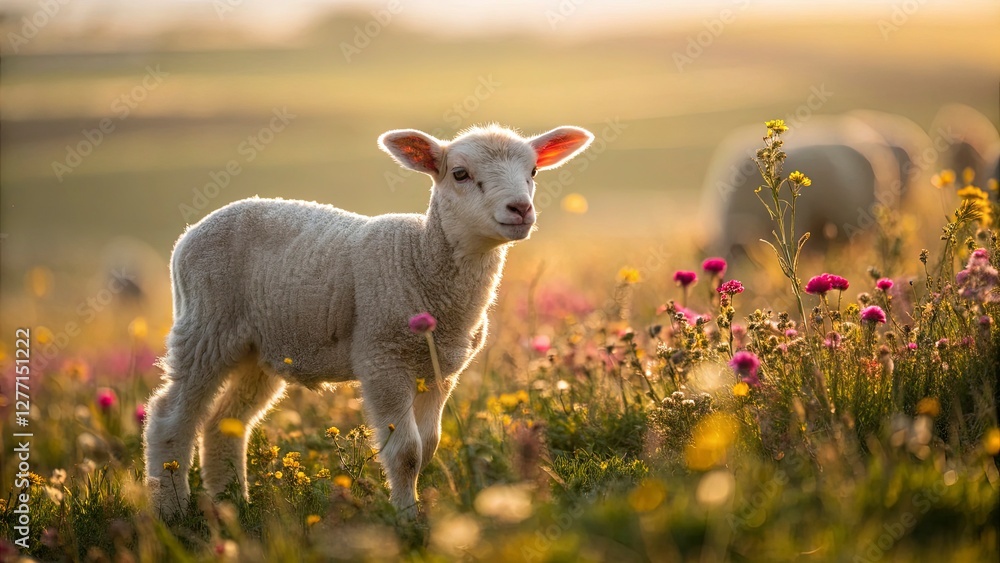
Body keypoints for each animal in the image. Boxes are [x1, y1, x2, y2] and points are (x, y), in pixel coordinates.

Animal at [142, 124, 594, 518]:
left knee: (225, 423)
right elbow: (407, 452)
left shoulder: (440, 371)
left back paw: (232, 504)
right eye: (460, 174)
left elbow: (429, 445)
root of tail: (190, 232)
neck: (421, 258)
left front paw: (412, 508)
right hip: (206, 325)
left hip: (259, 349)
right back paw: (172, 510)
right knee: (169, 417)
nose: (520, 209)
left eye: (533, 171)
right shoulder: (382, 359)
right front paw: (407, 520)